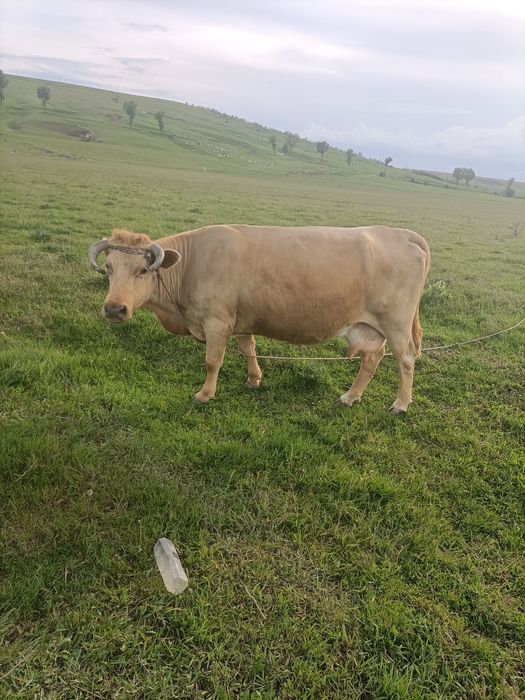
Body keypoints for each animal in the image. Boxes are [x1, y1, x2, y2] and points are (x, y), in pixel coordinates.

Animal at [88, 225, 430, 412]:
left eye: (143, 270)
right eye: (109, 268)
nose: (114, 309)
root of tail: (402, 235)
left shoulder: (217, 321)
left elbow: (213, 361)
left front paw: (205, 394)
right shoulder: (240, 319)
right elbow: (248, 347)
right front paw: (254, 379)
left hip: (396, 323)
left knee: (405, 359)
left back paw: (401, 403)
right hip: (370, 327)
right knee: (372, 358)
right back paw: (350, 396)